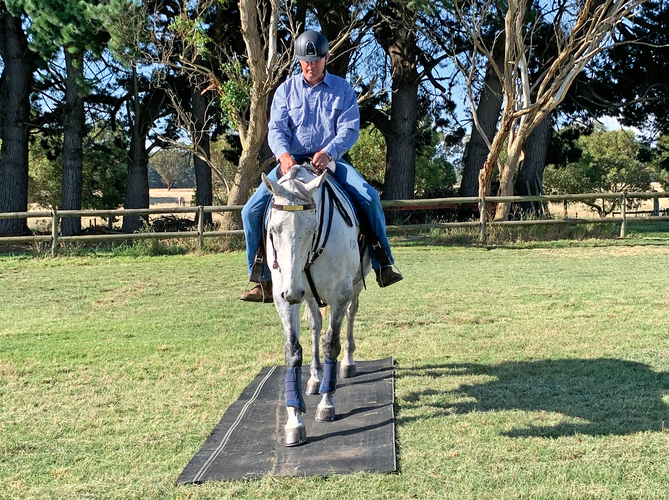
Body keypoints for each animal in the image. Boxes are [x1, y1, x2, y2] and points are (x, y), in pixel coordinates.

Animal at [261, 163, 371, 447]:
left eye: (311, 228)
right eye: (273, 230)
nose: (292, 291)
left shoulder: (340, 293)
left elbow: (331, 344)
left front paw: (326, 404)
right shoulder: (283, 297)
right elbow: (293, 351)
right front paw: (294, 422)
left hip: (354, 287)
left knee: (350, 318)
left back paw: (347, 364)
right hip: (308, 295)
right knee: (314, 325)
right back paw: (314, 378)